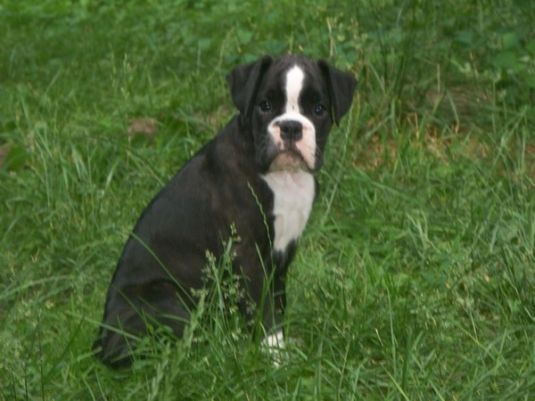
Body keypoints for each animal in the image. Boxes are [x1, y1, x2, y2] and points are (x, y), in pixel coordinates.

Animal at [94, 54, 358, 368]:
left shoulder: (283, 252)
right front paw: (275, 356)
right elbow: (264, 307)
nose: (291, 127)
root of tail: (103, 342)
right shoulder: (247, 255)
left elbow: (278, 299)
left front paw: (281, 346)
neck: (283, 176)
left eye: (318, 109)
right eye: (265, 105)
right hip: (168, 297)